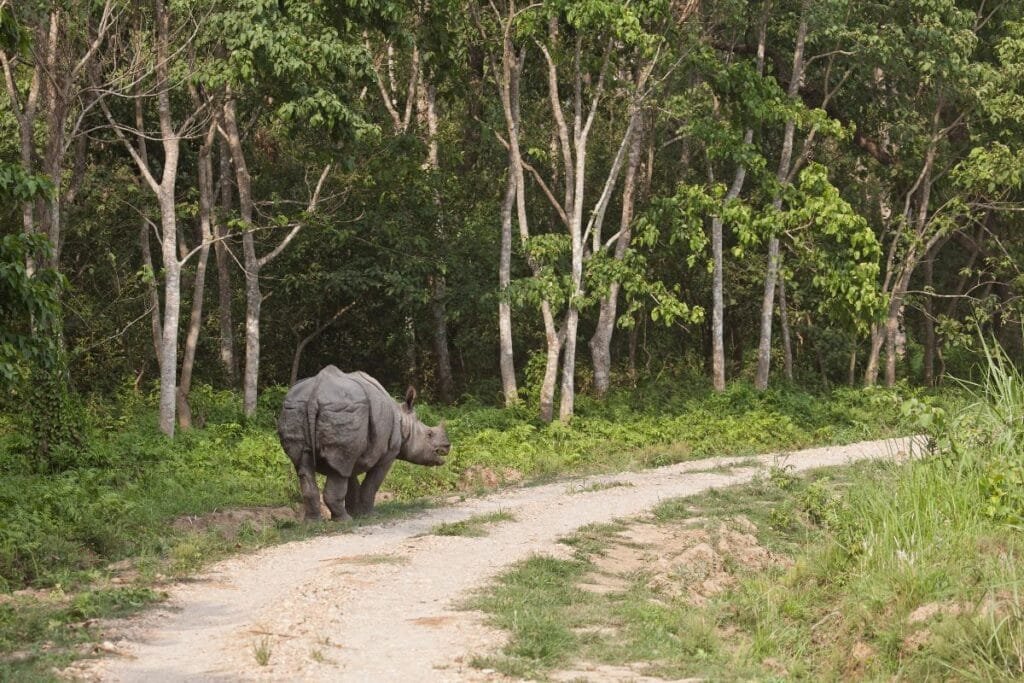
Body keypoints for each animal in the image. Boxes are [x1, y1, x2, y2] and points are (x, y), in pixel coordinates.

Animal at [277, 366, 450, 521]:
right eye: (429, 434)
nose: (447, 446)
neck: (404, 422)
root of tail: (315, 392)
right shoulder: (389, 453)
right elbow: (371, 484)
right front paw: (368, 515)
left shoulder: (353, 451)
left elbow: (350, 482)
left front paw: (356, 513)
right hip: (344, 409)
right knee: (336, 471)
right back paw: (344, 521)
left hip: (295, 407)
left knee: (305, 466)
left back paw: (313, 523)